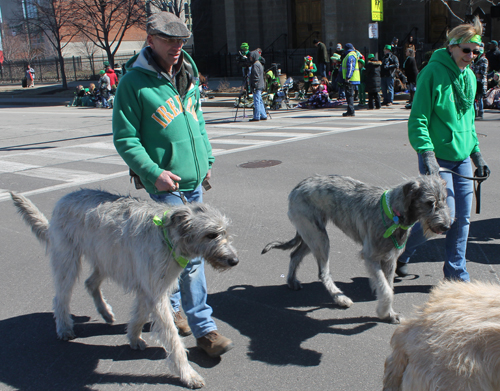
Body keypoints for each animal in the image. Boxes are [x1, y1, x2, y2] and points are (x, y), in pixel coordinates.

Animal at [11, 190, 238, 388]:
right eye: (211, 235)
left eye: (225, 232)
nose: (234, 261)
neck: (167, 235)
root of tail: (64, 198)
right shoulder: (154, 290)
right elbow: (172, 336)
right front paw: (188, 374)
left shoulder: (149, 287)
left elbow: (140, 314)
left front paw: (133, 337)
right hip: (69, 260)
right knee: (61, 297)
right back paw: (65, 327)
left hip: (106, 258)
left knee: (90, 283)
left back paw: (105, 312)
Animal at [262, 175, 450, 324]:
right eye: (429, 203)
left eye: (445, 199)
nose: (447, 226)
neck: (394, 213)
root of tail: (297, 187)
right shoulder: (371, 257)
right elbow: (386, 290)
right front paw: (383, 312)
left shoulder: (389, 259)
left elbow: (389, 287)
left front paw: (390, 314)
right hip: (319, 237)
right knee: (322, 272)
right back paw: (339, 298)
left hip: (310, 235)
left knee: (295, 254)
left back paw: (291, 280)